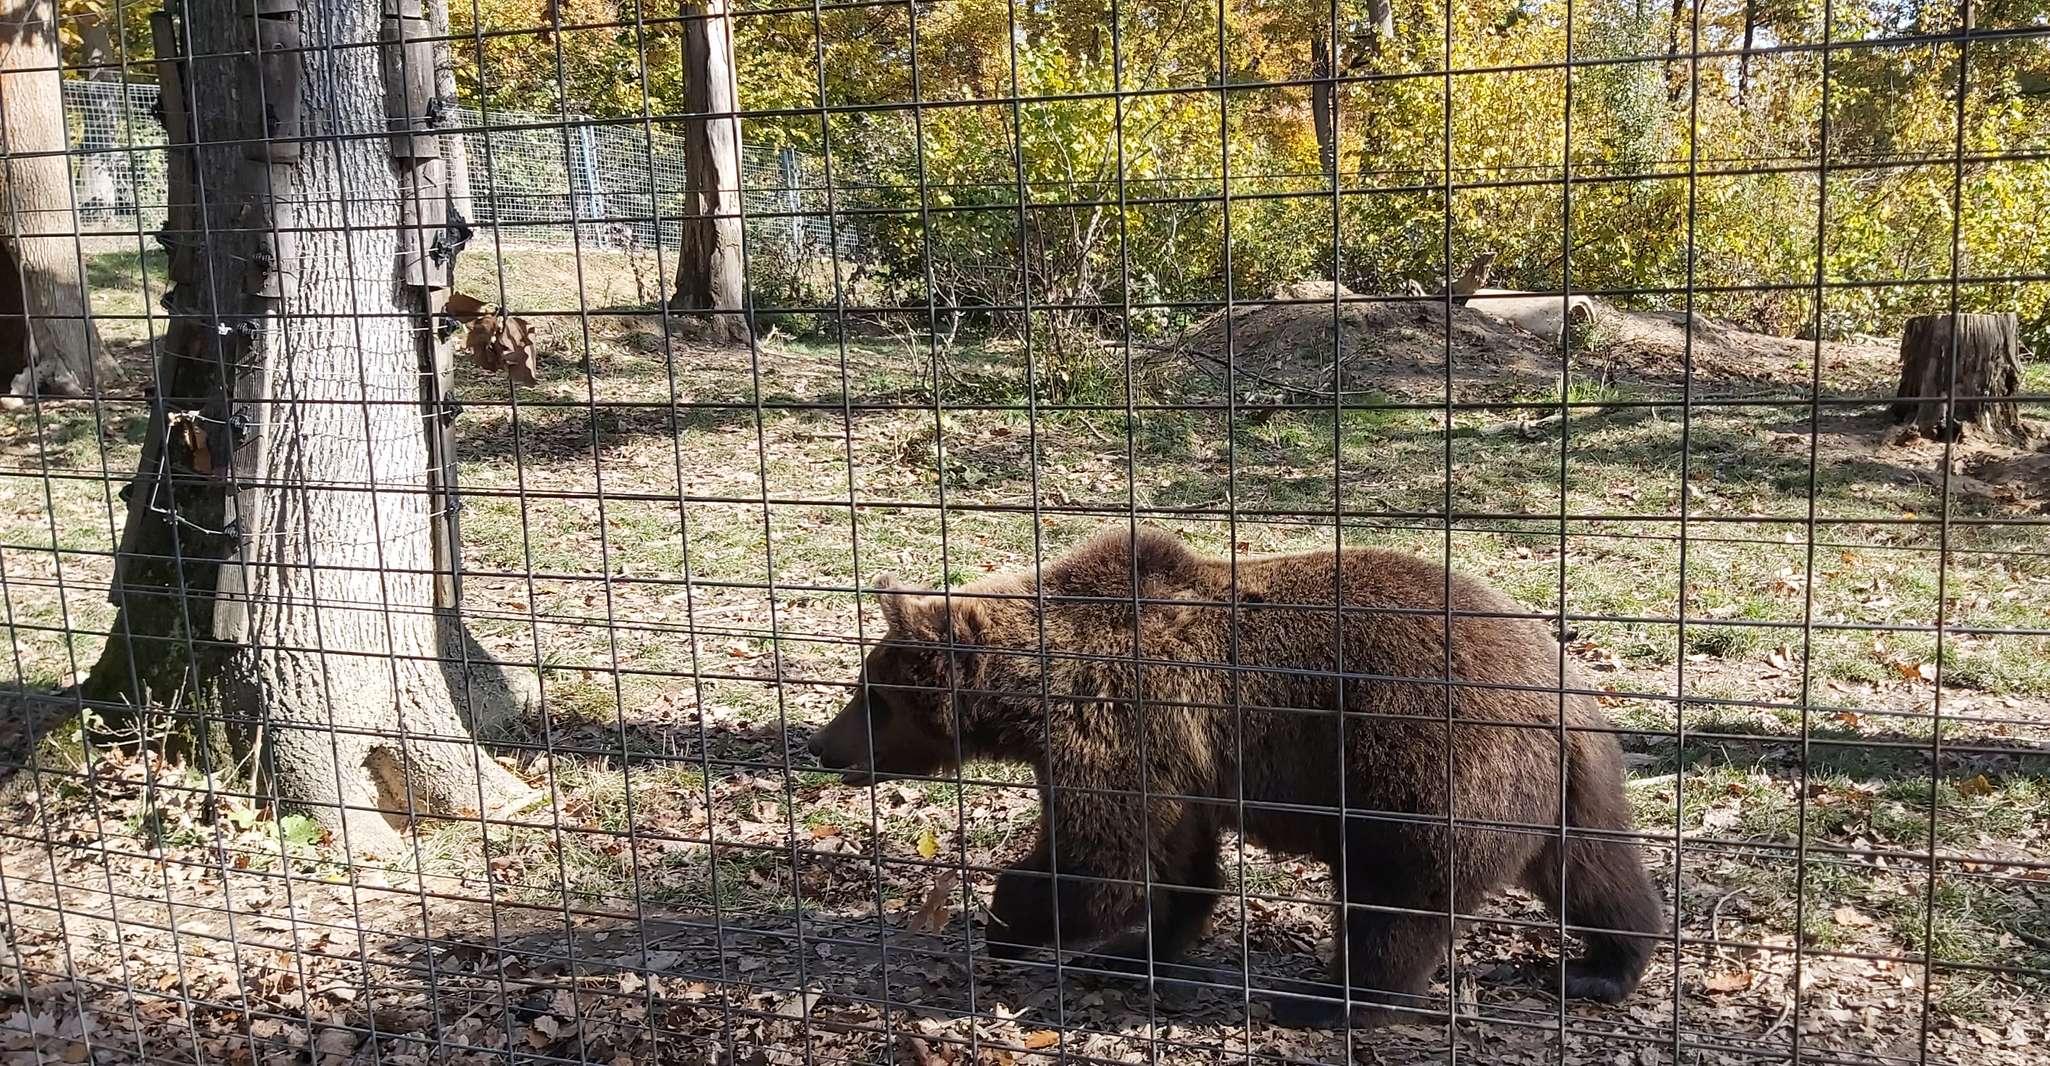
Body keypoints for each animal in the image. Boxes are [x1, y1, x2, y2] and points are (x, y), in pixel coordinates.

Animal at [807, 524, 1656, 1025]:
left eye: (873, 696)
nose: (822, 745)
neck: (1031, 693)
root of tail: (1557, 689)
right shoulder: (1176, 761)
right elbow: (1175, 866)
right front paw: (1131, 951)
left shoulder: (1116, 722)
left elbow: (1104, 862)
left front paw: (1007, 926)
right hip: (1574, 783)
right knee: (1596, 870)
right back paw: (1603, 968)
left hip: (1422, 761)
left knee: (1397, 893)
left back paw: (1324, 998)